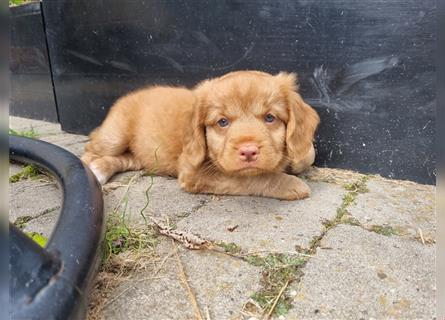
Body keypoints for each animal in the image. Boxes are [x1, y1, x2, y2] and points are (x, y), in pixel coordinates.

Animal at [81, 71, 320, 199]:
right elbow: (251, 177)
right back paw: (92, 170)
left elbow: (307, 156)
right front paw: (290, 184)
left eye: (270, 118)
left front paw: (297, 157)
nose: (248, 151)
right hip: (114, 136)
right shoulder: (193, 172)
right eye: (222, 122)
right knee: (89, 149)